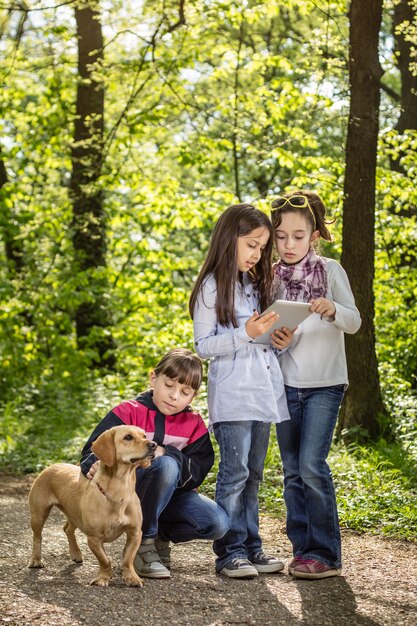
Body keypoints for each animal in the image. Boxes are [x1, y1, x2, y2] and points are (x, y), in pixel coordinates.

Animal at [28, 424, 156, 584]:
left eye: (144, 436)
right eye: (128, 437)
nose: (154, 445)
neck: (120, 492)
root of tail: (51, 466)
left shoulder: (135, 533)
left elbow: (128, 559)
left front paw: (131, 577)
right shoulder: (94, 538)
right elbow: (105, 561)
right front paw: (103, 578)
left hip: (74, 515)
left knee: (67, 529)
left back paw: (76, 553)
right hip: (39, 515)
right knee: (37, 537)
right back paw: (36, 560)